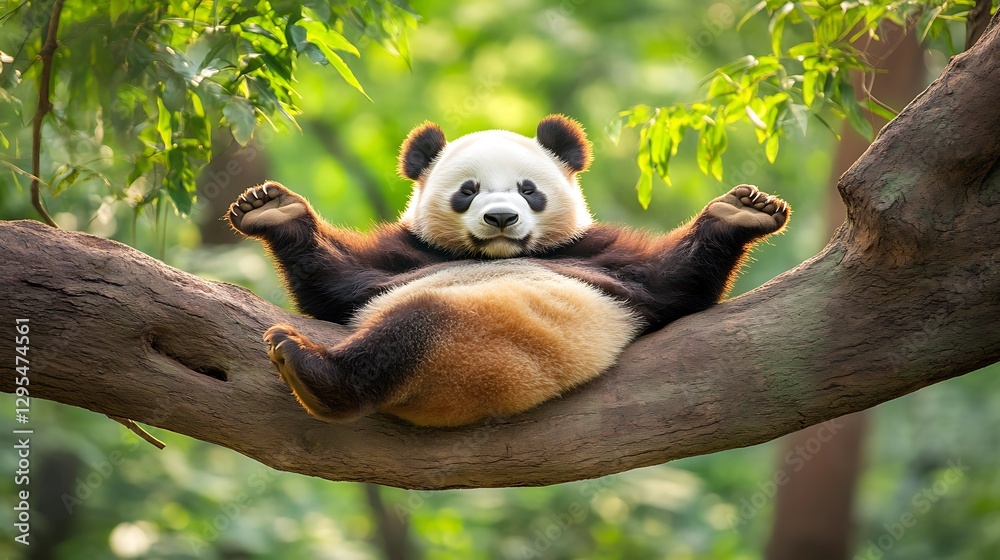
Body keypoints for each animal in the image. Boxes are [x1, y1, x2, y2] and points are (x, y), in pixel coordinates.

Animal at [226, 115, 789, 427]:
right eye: (468, 190)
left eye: (528, 189)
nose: (501, 218)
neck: (492, 256)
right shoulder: (408, 258)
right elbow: (335, 287)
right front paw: (271, 209)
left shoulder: (597, 255)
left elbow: (671, 284)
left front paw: (742, 211)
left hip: (482, 351)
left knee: (412, 328)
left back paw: (310, 370)